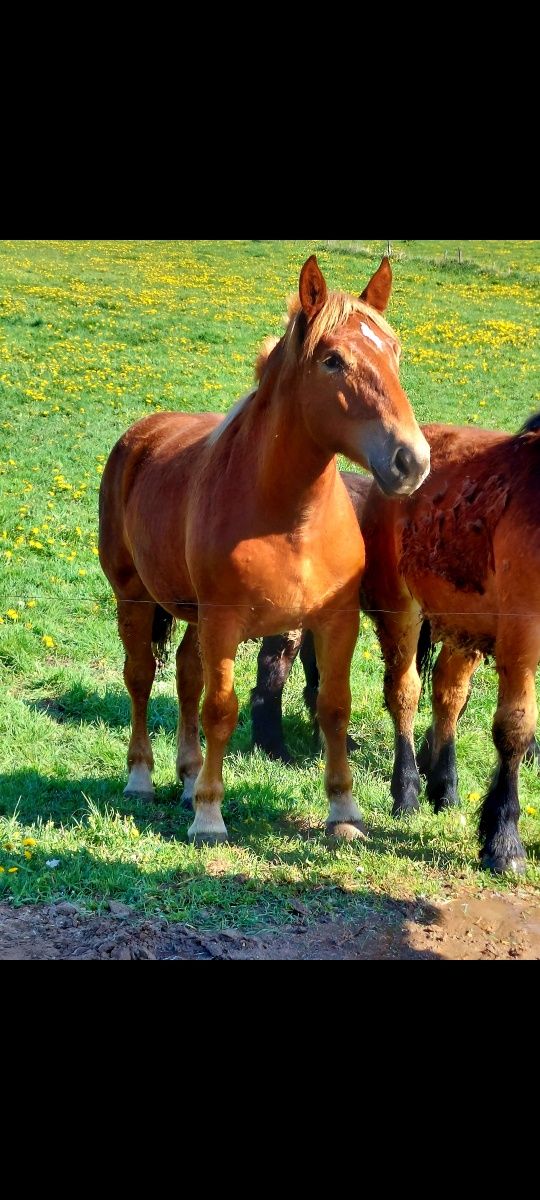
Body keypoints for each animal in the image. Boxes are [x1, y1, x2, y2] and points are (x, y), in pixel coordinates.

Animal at [97, 258, 429, 849]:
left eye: (394, 351)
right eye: (332, 359)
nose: (411, 460)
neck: (289, 519)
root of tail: (139, 435)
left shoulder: (335, 621)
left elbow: (333, 707)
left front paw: (344, 811)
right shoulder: (225, 622)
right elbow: (222, 710)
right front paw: (209, 815)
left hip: (193, 616)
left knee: (185, 675)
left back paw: (186, 778)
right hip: (134, 599)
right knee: (141, 678)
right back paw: (143, 778)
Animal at [255, 420, 540, 873]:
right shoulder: (520, 638)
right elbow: (515, 729)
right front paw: (504, 842)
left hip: (462, 627)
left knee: (448, 695)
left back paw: (445, 788)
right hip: (400, 610)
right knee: (404, 693)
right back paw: (406, 792)